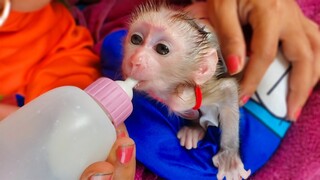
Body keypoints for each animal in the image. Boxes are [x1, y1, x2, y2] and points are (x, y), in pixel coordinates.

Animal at [121, 1, 251, 179]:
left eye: (162, 48)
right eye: (136, 39)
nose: (135, 60)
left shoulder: (194, 92)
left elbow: (228, 90)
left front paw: (229, 156)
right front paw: (194, 125)